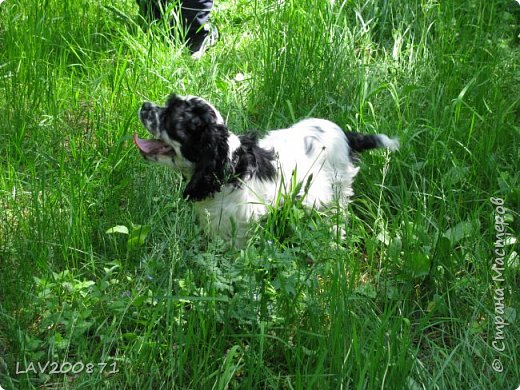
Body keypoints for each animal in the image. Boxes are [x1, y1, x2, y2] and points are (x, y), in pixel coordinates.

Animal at [135, 94, 398, 244]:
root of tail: (345, 134)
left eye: (170, 117)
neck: (231, 168)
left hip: (337, 190)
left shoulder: (243, 231)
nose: (144, 106)